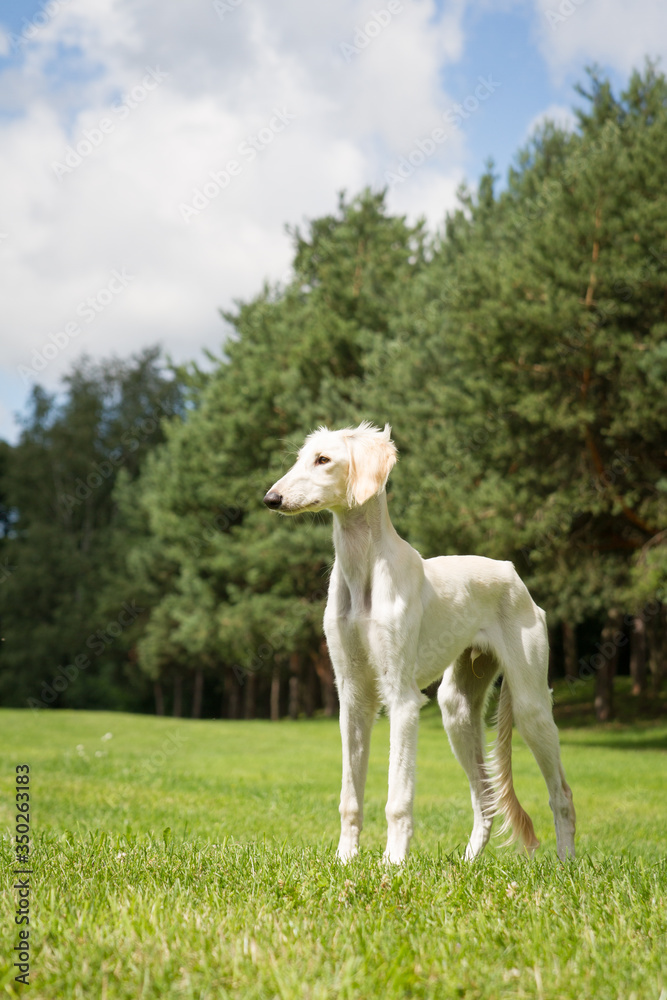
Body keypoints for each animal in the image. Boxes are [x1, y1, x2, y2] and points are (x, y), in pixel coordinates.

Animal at [264, 420, 576, 860]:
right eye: (298, 459)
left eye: (323, 460)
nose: (270, 499)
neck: (362, 572)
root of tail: (512, 572)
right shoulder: (352, 696)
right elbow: (349, 796)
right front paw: (344, 859)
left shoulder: (402, 698)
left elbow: (398, 797)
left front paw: (393, 862)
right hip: (457, 709)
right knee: (485, 799)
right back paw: (469, 863)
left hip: (530, 704)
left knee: (560, 793)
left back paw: (566, 864)